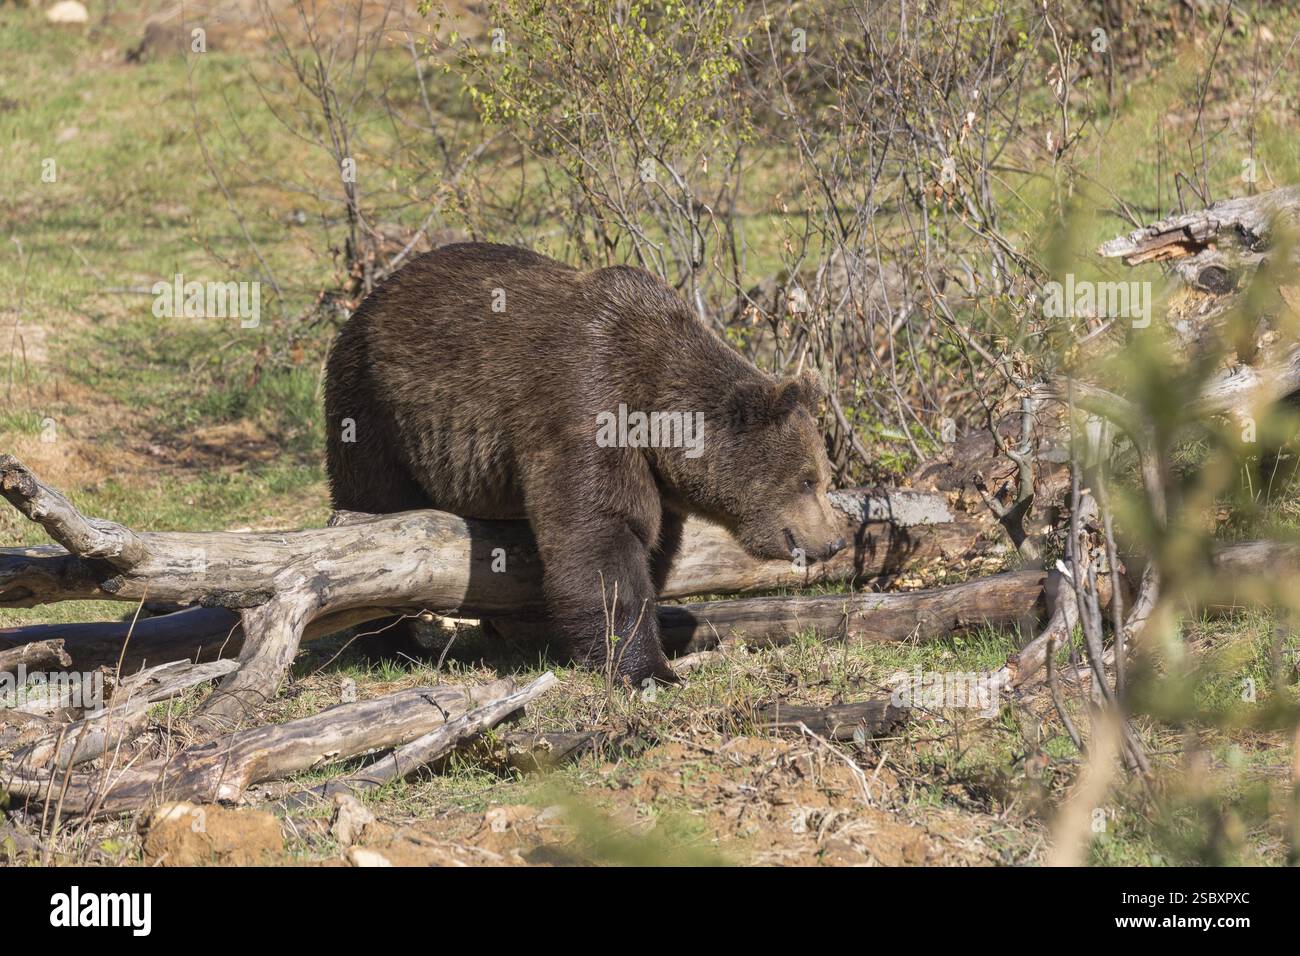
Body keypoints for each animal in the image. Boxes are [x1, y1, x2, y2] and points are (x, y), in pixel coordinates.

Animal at [324, 242, 846, 685]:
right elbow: (600, 531)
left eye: (822, 478)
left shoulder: (652, 473)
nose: (834, 540)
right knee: (375, 506)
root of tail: (370, 299)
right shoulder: (586, 400)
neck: (655, 413)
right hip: (375, 411)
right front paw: (648, 668)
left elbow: (650, 544)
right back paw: (394, 644)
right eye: (807, 480)